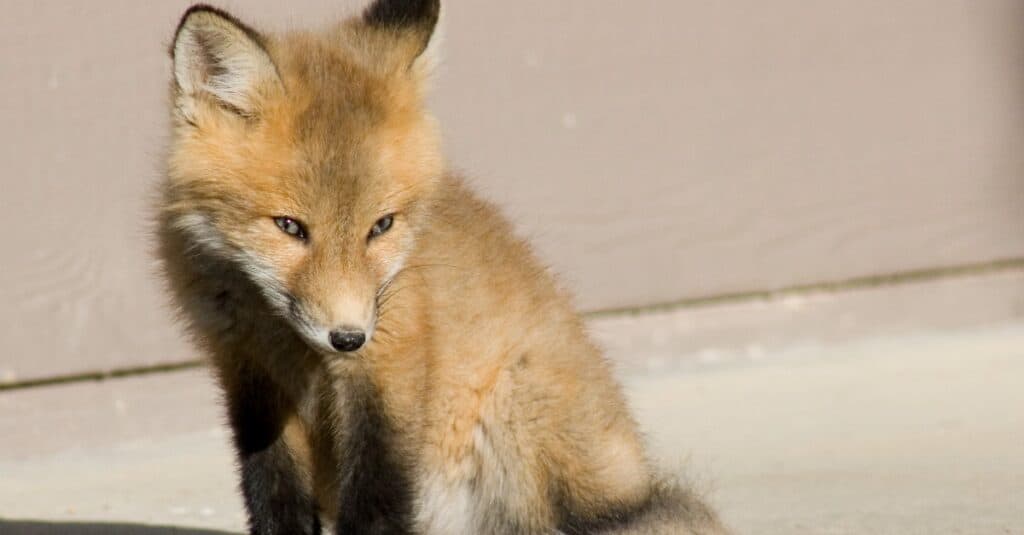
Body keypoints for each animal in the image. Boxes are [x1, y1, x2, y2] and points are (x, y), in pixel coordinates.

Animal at [155, 0, 724, 528]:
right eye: (290, 227)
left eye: (381, 225)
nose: (347, 337)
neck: (289, 343)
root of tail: (636, 479)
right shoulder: (249, 377)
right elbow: (272, 498)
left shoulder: (391, 369)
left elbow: (377, 500)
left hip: (517, 422)